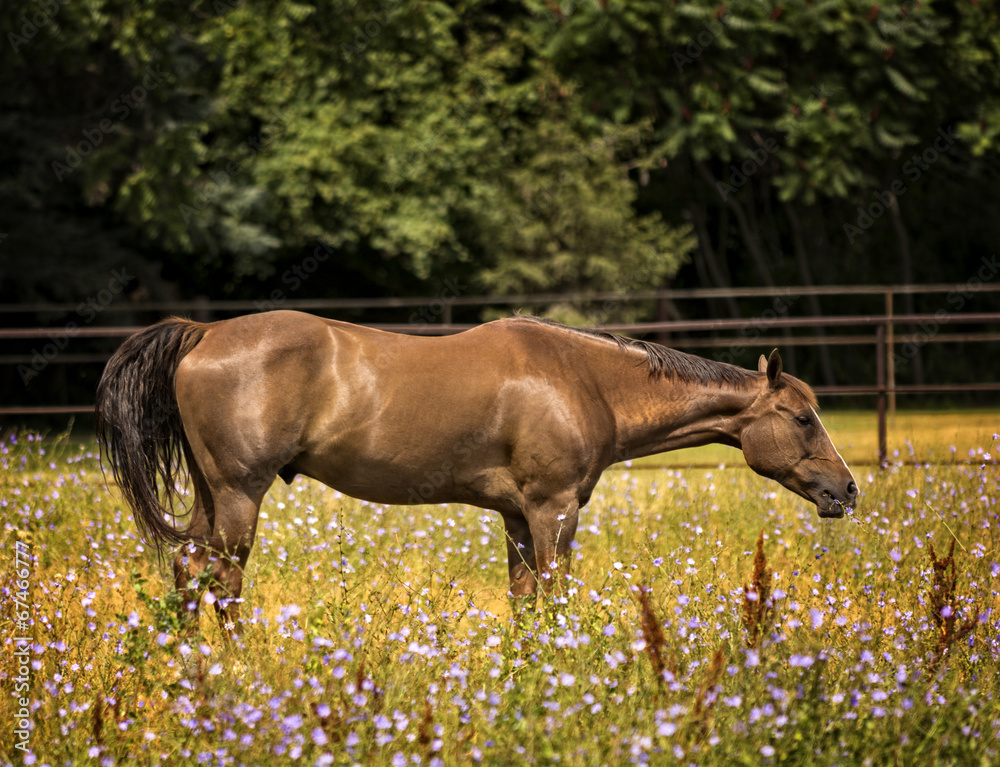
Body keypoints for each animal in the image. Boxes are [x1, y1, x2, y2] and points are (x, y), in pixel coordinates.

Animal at [95, 311, 858, 632]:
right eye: (802, 417)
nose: (845, 490)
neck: (583, 379)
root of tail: (204, 332)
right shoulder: (553, 510)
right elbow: (554, 598)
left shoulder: (518, 516)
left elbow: (525, 602)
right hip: (237, 498)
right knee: (221, 583)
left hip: (209, 497)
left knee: (190, 574)